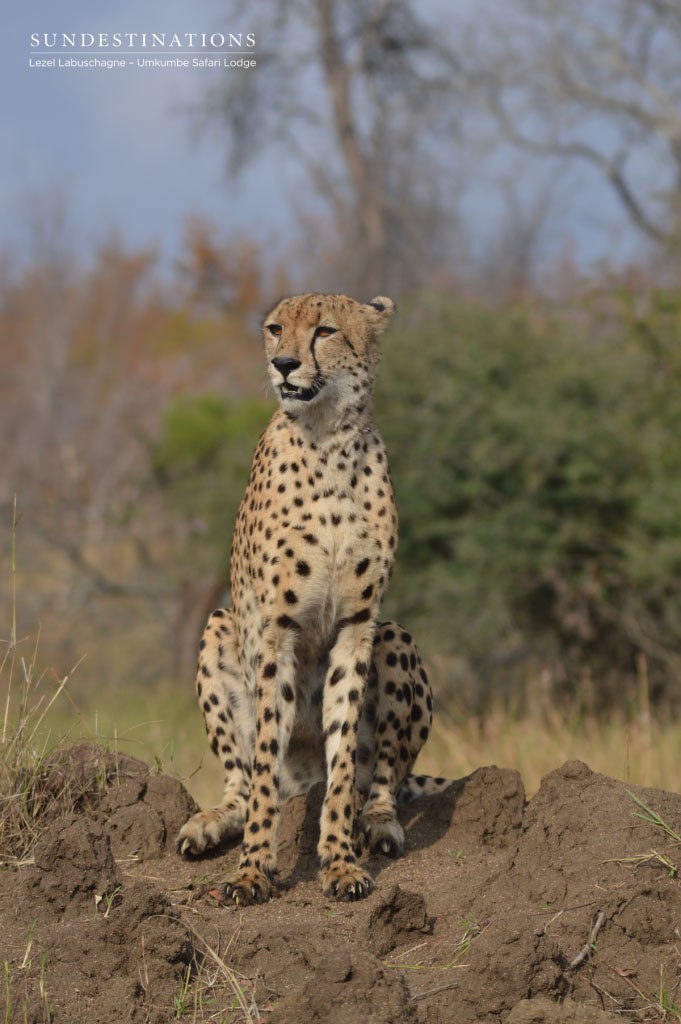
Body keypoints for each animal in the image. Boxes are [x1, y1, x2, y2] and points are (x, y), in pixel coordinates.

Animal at [178, 292, 448, 901]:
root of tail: (303, 780)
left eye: (324, 331)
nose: (283, 364)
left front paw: (340, 861)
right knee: (244, 779)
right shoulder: (275, 628)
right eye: (276, 329)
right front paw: (253, 869)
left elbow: (344, 754)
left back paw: (378, 824)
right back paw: (213, 822)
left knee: (383, 779)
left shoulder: (357, 624)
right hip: (219, 624)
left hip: (394, 636)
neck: (327, 439)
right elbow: (262, 760)